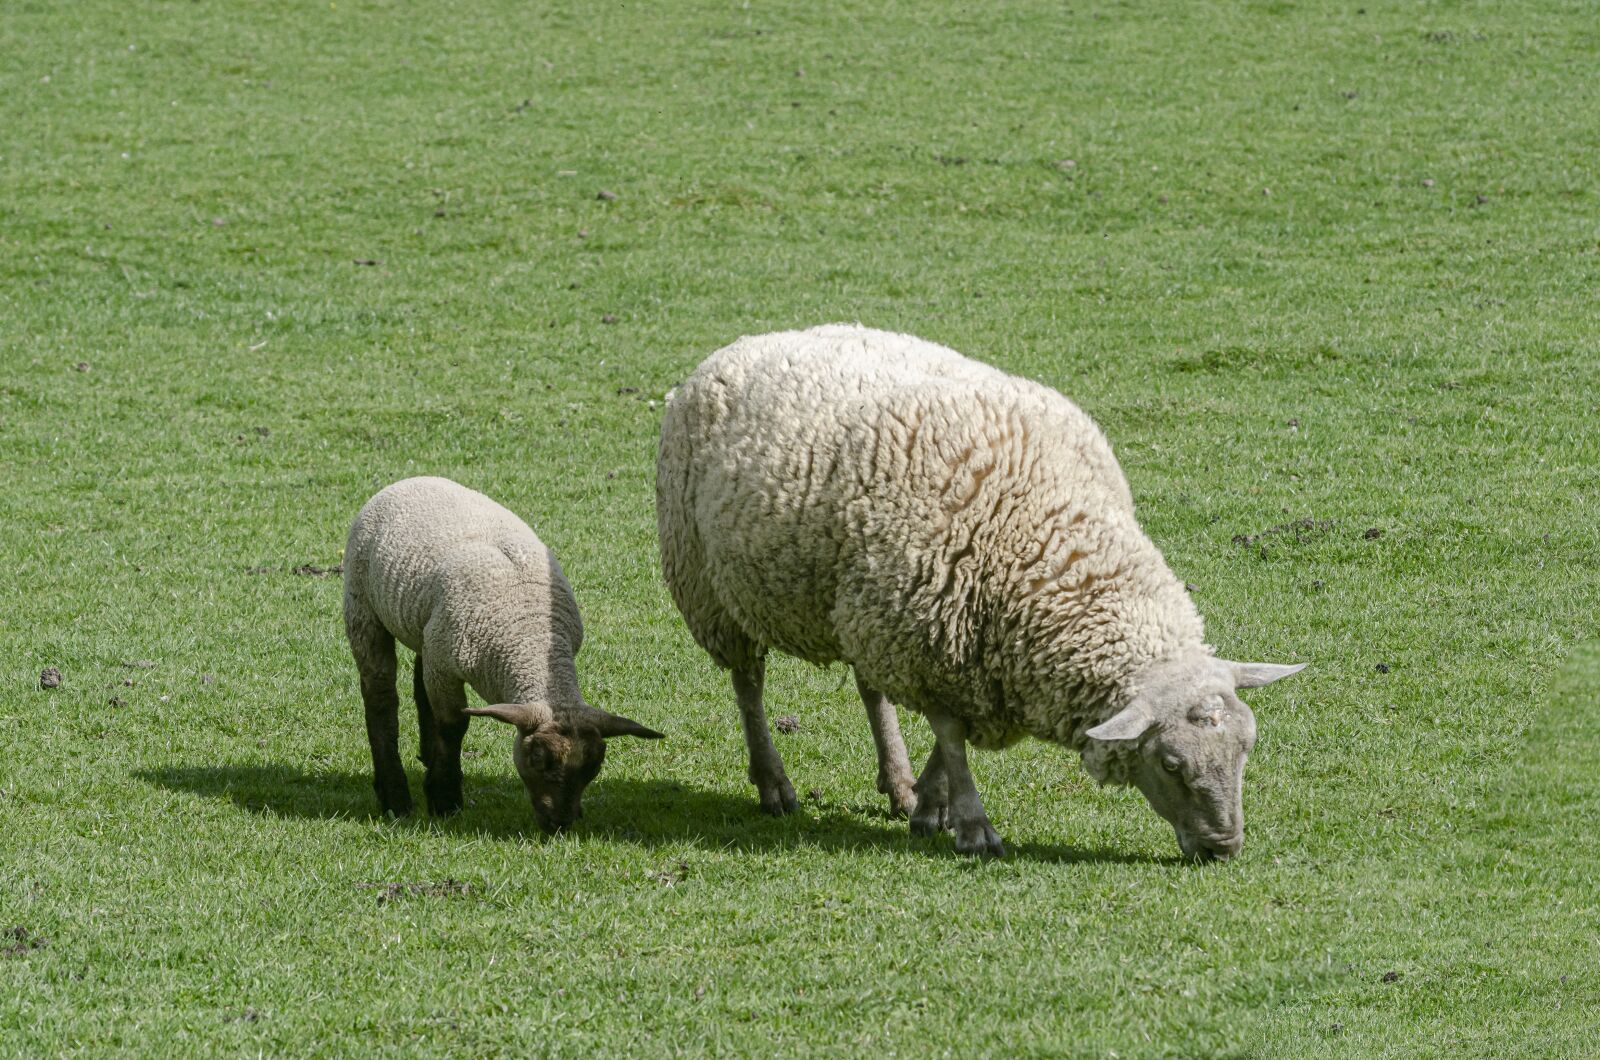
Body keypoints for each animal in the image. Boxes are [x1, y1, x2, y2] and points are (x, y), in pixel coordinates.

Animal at [343, 476, 663, 832]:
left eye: (593, 767)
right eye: (537, 758)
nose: (559, 823)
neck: (528, 635)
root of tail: (412, 479)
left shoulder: (440, 654)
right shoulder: (445, 666)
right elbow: (453, 727)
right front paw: (444, 798)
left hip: (426, 626)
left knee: (418, 679)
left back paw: (424, 756)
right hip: (362, 606)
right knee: (380, 696)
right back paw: (394, 795)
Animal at [656, 324, 1304, 860]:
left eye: (1246, 748)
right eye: (1170, 763)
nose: (1223, 849)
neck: (1046, 538)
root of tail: (748, 341)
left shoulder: (945, 638)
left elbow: (949, 736)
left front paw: (928, 803)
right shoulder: (931, 632)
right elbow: (951, 735)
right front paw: (970, 824)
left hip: (860, 599)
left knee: (871, 690)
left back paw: (895, 783)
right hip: (714, 589)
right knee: (749, 685)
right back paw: (774, 783)